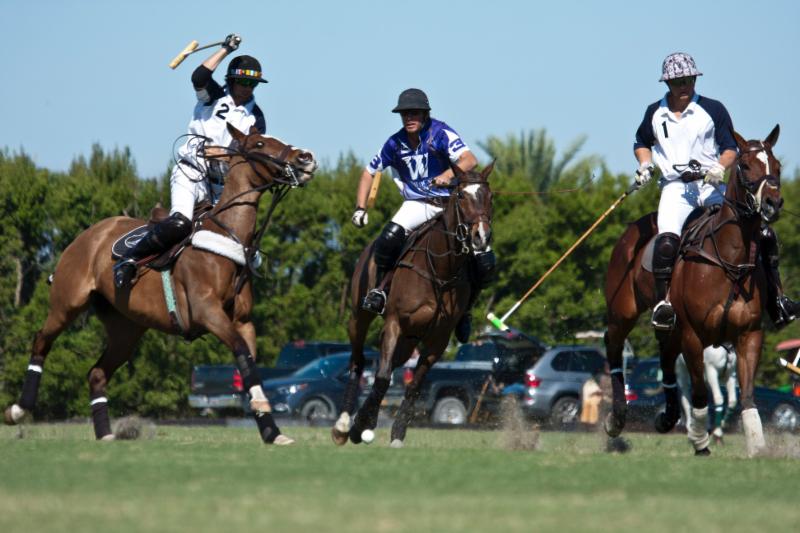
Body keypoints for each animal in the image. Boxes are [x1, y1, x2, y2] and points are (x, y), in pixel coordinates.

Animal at [3, 124, 317, 445]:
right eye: (259, 143)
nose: (305, 158)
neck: (227, 237)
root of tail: (89, 233)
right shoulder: (207, 311)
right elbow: (243, 354)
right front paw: (270, 428)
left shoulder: (242, 321)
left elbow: (249, 365)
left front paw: (272, 431)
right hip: (67, 303)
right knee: (41, 340)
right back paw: (18, 410)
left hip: (126, 328)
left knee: (97, 373)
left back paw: (105, 434)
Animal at [331, 163, 494, 447]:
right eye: (461, 196)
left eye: (489, 196)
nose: (481, 236)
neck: (440, 269)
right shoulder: (394, 323)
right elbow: (382, 377)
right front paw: (358, 427)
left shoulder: (439, 338)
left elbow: (413, 385)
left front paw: (394, 433)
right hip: (359, 317)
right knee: (358, 361)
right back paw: (342, 425)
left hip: (410, 338)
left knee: (393, 364)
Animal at [604, 126, 782, 456]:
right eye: (746, 165)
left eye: (777, 166)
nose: (772, 205)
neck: (730, 259)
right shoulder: (693, 336)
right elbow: (700, 395)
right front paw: (700, 440)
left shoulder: (750, 334)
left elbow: (747, 397)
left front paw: (757, 445)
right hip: (623, 310)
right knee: (614, 344)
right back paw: (617, 418)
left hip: (669, 326)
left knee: (665, 356)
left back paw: (667, 417)